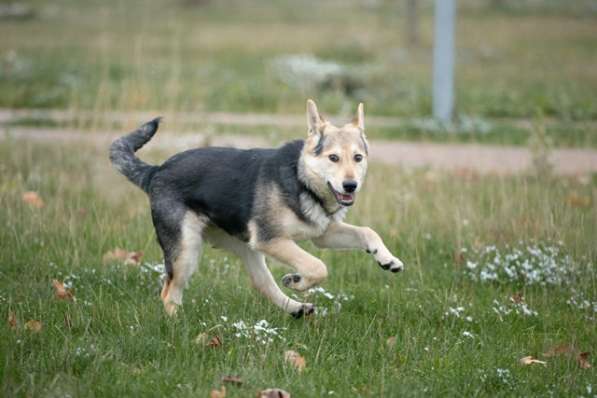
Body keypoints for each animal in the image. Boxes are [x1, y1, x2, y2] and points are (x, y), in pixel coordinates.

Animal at [109, 99, 402, 318]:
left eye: (358, 158)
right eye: (333, 158)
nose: (351, 185)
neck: (300, 180)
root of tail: (156, 171)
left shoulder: (323, 234)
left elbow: (367, 231)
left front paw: (387, 258)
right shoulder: (271, 239)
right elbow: (317, 266)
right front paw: (299, 280)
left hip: (247, 248)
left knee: (262, 284)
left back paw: (296, 308)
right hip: (188, 251)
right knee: (169, 292)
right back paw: (177, 325)